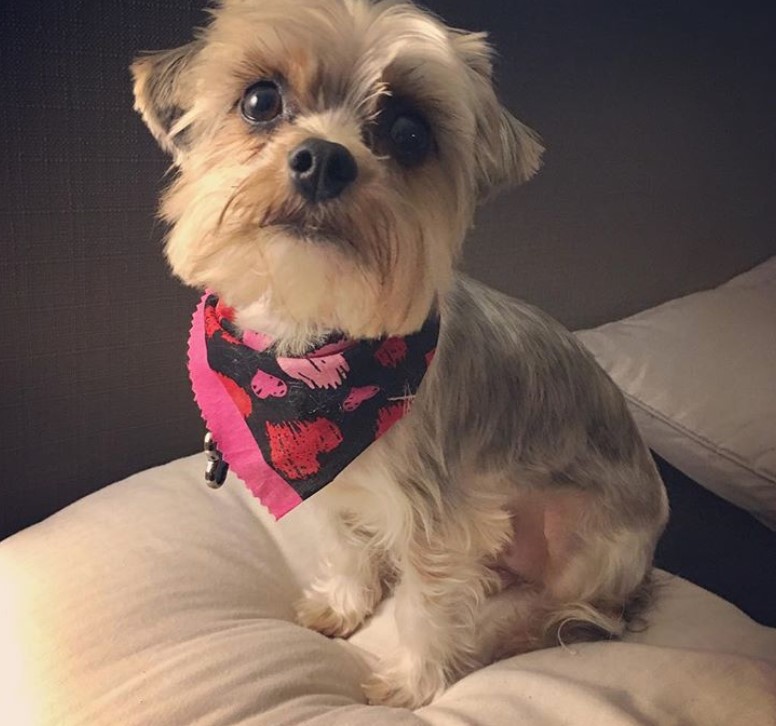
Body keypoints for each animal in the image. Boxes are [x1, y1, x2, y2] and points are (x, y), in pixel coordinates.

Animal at [132, 0, 668, 708]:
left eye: (410, 133)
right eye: (260, 100)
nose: (324, 160)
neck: (314, 338)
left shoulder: (439, 514)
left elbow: (428, 603)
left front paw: (412, 682)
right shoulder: (331, 479)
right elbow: (347, 548)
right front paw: (344, 604)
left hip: (585, 539)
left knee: (579, 609)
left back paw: (519, 626)